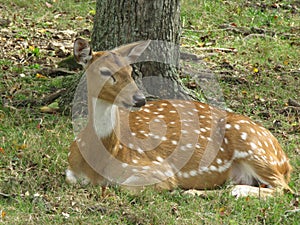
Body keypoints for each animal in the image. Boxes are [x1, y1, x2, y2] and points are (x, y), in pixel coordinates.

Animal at [65, 38, 292, 199]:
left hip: (255, 147)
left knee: (284, 189)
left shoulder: (156, 167)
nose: (139, 99)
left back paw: (233, 191)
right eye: (104, 71)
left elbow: (125, 187)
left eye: (130, 70)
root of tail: (286, 161)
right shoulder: (70, 171)